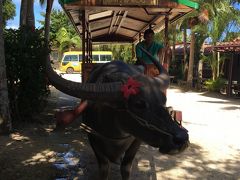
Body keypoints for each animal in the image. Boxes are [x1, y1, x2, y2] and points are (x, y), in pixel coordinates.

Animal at [47, 57, 188, 180]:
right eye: (139, 104)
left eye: (164, 100)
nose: (182, 138)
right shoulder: (92, 138)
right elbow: (104, 168)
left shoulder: (137, 140)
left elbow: (125, 168)